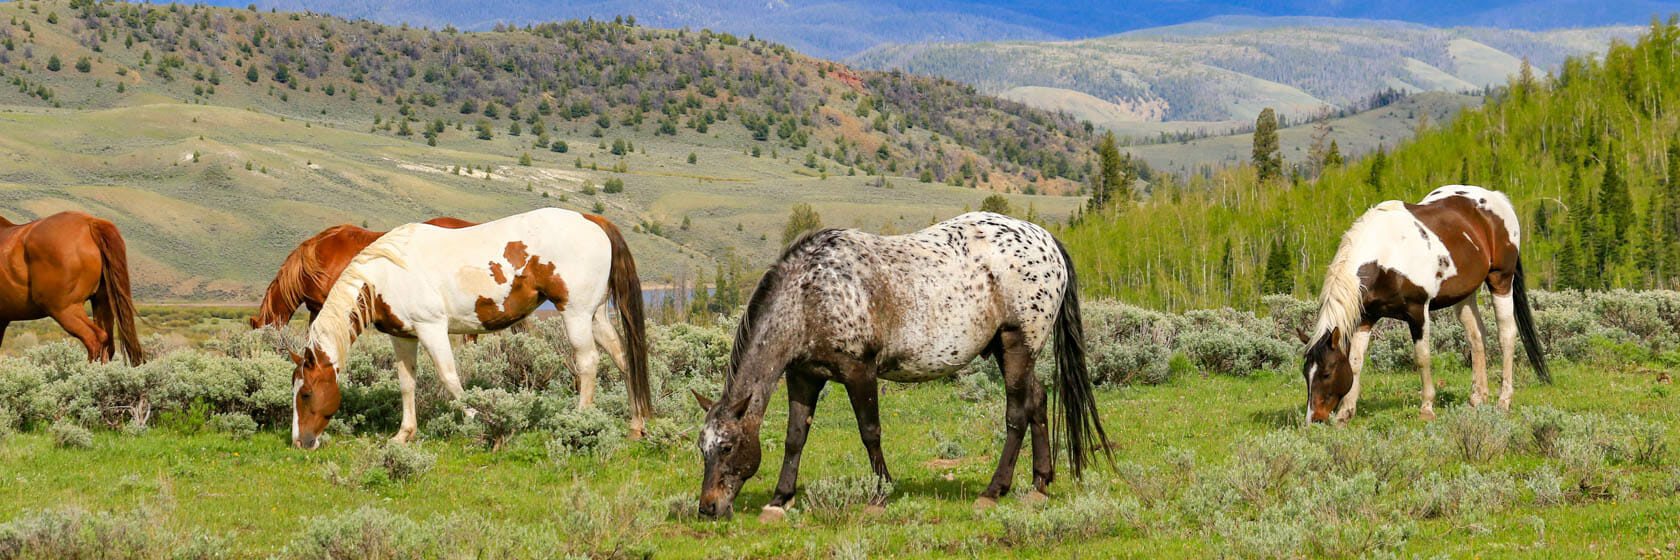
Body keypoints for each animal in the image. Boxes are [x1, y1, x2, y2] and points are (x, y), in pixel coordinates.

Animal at [285, 208, 651, 450]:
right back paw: (636, 426)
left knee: (588, 363)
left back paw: (579, 423)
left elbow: (449, 378)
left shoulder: (432, 329)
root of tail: (592, 220)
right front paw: (404, 434)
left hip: (575, 315)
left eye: (306, 393)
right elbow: (407, 384)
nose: (301, 442)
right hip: (595, 315)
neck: (386, 274)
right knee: (622, 359)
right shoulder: (403, 336)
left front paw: (478, 420)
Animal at [695, 210, 1115, 517]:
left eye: (728, 447)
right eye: (703, 448)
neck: (809, 294)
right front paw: (781, 498)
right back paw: (1040, 484)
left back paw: (994, 490)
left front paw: (880, 494)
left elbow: (870, 433)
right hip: (1007, 349)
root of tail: (1046, 239)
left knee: (1017, 413)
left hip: (1017, 345)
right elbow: (795, 437)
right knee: (1038, 401)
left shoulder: (859, 372)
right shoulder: (803, 378)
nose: (708, 508)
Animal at [1296, 184, 1545, 423]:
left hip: (1501, 280)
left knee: (1506, 335)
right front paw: (1345, 412)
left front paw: (1426, 408)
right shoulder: (1366, 317)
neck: (1386, 255)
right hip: (1465, 294)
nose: (1314, 419)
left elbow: (1422, 357)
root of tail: (1496, 197)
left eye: (1327, 373)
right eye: (1306, 373)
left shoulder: (1417, 311)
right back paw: (1477, 398)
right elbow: (1355, 361)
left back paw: (1504, 401)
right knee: (1476, 337)